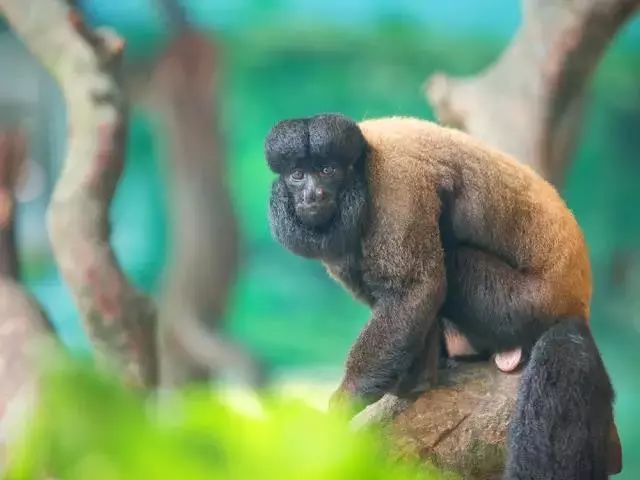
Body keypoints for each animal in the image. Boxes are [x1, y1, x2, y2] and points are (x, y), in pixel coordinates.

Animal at [264, 114, 620, 478]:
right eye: (297, 175)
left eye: (327, 171)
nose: (312, 195)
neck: (362, 166)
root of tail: (578, 302)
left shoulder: (396, 183)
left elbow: (413, 289)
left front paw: (346, 402)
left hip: (528, 304)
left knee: (453, 261)